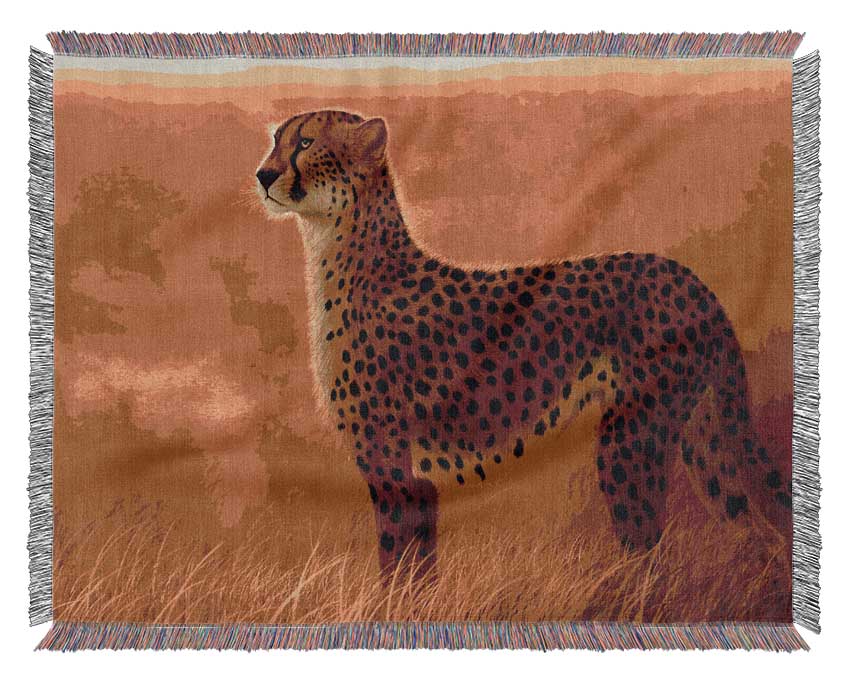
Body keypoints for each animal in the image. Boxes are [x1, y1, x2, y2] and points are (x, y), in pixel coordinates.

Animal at [256, 109, 792, 580]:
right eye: (276, 140)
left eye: (306, 143)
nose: (263, 174)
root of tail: (689, 277)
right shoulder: (417, 479)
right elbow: (417, 571)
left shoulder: (389, 464)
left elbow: (395, 561)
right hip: (701, 437)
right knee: (758, 531)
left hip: (630, 439)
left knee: (650, 549)